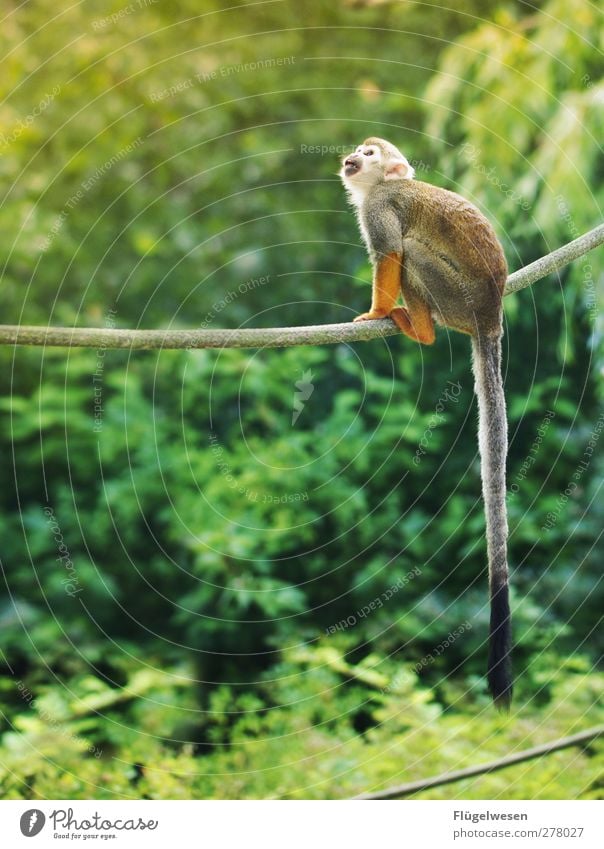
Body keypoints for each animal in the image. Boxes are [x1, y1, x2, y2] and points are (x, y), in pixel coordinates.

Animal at [340, 137, 510, 708]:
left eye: (370, 154)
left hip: (455, 296)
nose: (353, 155)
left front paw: (374, 312)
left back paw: (420, 330)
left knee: (412, 251)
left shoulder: (379, 208)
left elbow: (391, 252)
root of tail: (490, 314)